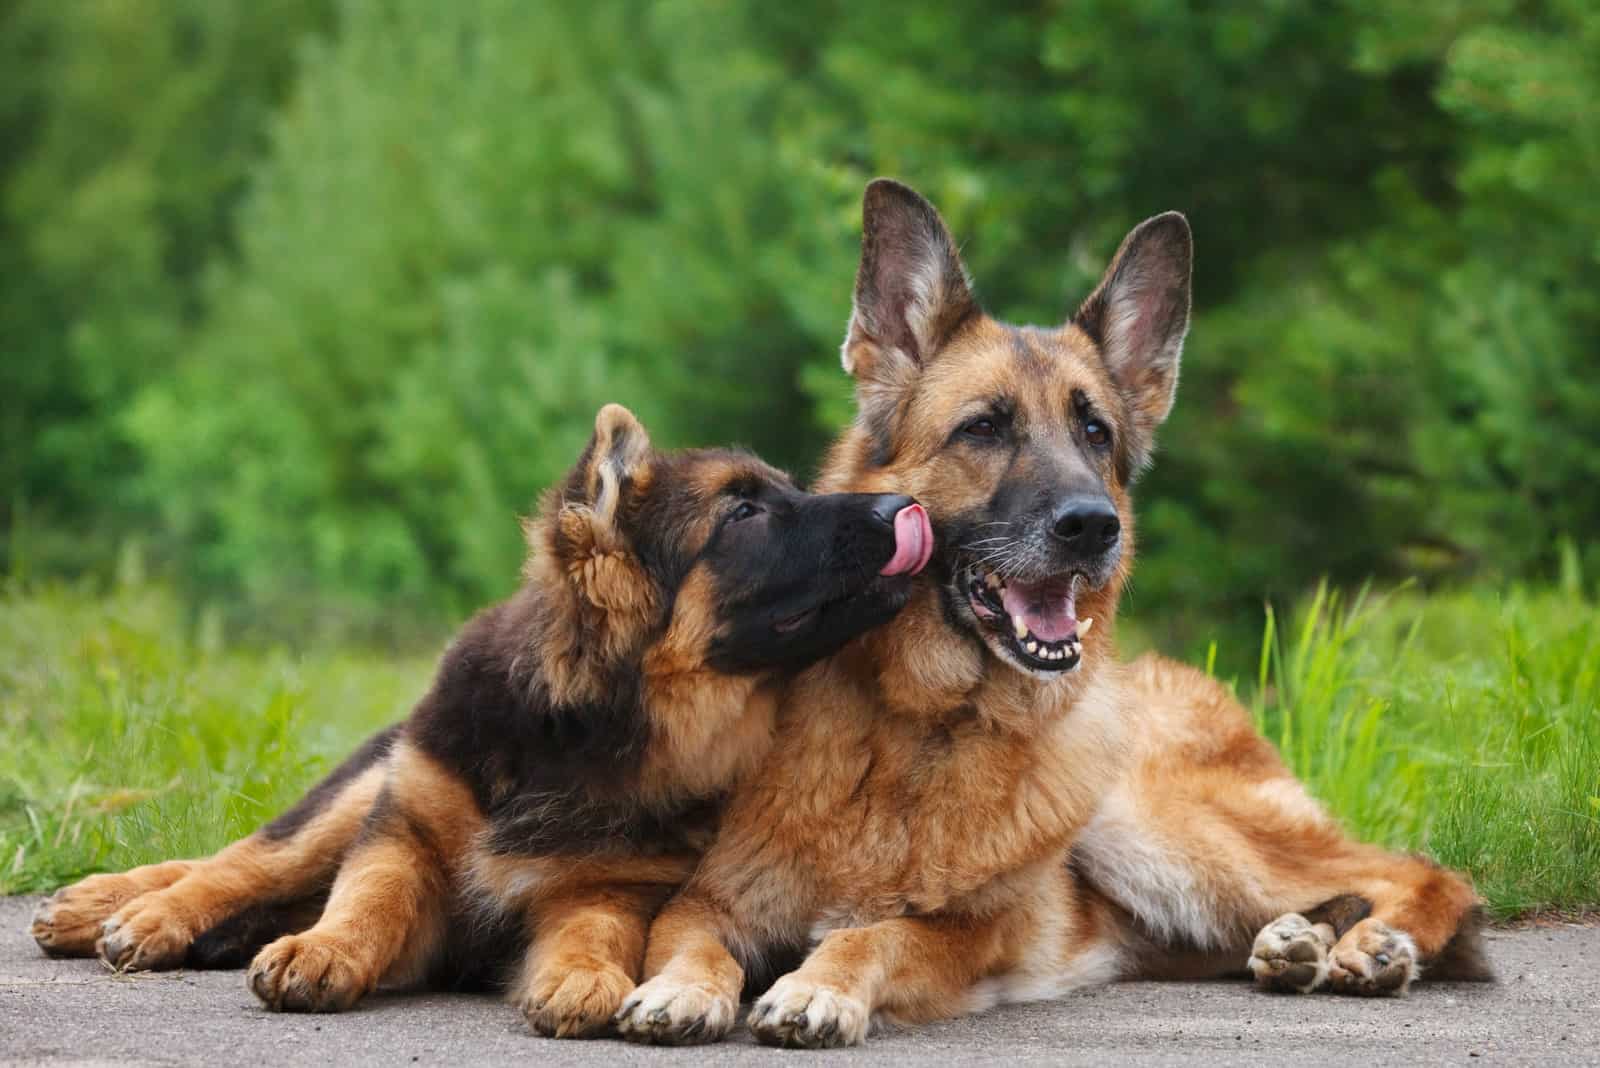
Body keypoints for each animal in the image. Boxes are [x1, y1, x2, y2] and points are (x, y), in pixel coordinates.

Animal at [28, 404, 934, 1036]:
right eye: (743, 513)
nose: (901, 504)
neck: (586, 731)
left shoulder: (610, 881)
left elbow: (595, 929)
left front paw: (580, 977)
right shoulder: (404, 829)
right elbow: (367, 899)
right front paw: (321, 951)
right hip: (364, 791)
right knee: (240, 863)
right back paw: (121, 911)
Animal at [614, 181, 1484, 1042]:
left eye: (1094, 431)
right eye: (983, 428)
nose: (1093, 526)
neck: (920, 729)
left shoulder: (970, 932)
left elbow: (876, 934)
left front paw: (816, 986)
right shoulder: (707, 900)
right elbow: (688, 942)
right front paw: (681, 989)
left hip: (1156, 830)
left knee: (1424, 872)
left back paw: (1381, 943)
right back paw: (1296, 945)